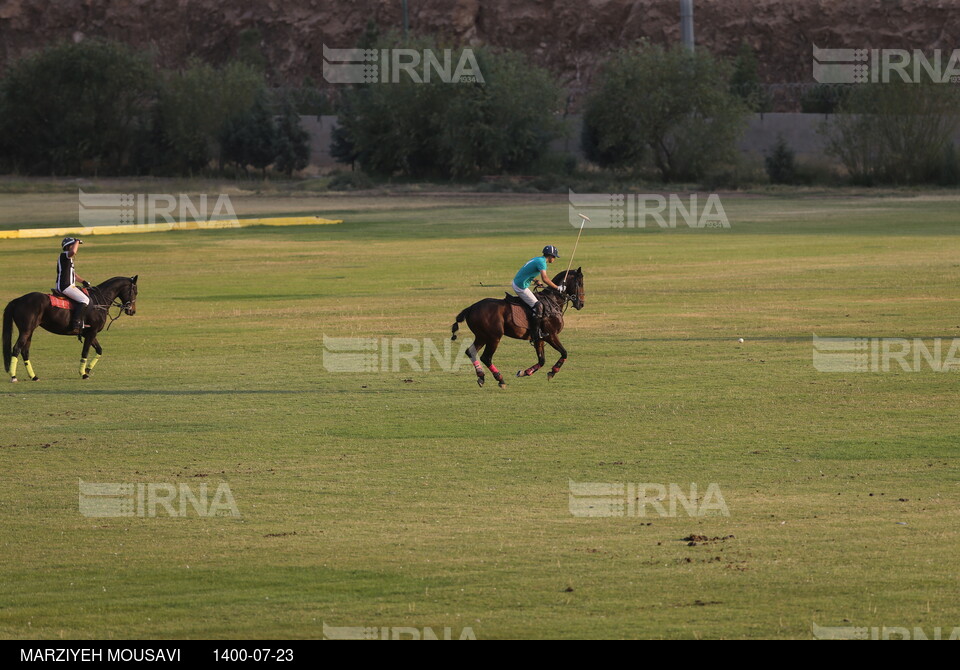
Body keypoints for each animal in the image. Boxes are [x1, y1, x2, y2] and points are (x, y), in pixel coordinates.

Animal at [2, 276, 139, 384]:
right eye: (135, 292)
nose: (132, 311)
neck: (98, 301)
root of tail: (18, 300)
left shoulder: (89, 334)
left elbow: (99, 350)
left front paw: (87, 369)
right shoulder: (91, 333)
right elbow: (85, 352)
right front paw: (83, 373)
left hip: (30, 331)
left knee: (25, 351)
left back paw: (34, 376)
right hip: (25, 331)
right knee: (16, 349)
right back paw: (13, 377)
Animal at [452, 270, 584, 388]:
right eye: (580, 283)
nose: (581, 304)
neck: (553, 301)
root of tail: (471, 308)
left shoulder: (539, 338)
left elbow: (542, 360)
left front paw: (524, 372)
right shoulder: (551, 335)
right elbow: (564, 352)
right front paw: (553, 371)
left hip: (482, 336)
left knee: (470, 351)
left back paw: (481, 376)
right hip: (494, 337)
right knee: (486, 357)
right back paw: (500, 379)